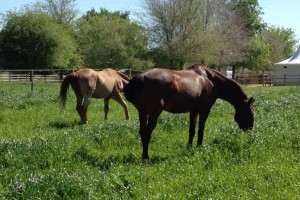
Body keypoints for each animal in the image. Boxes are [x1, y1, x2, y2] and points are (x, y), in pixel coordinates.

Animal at [124, 63, 255, 163]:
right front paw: (199, 146)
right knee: (147, 133)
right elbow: (201, 129)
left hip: (142, 113)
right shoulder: (205, 110)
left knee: (142, 132)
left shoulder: (194, 110)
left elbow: (192, 130)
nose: (249, 129)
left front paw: (189, 147)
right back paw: (146, 158)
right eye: (252, 114)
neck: (211, 80)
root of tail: (141, 77)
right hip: (154, 114)